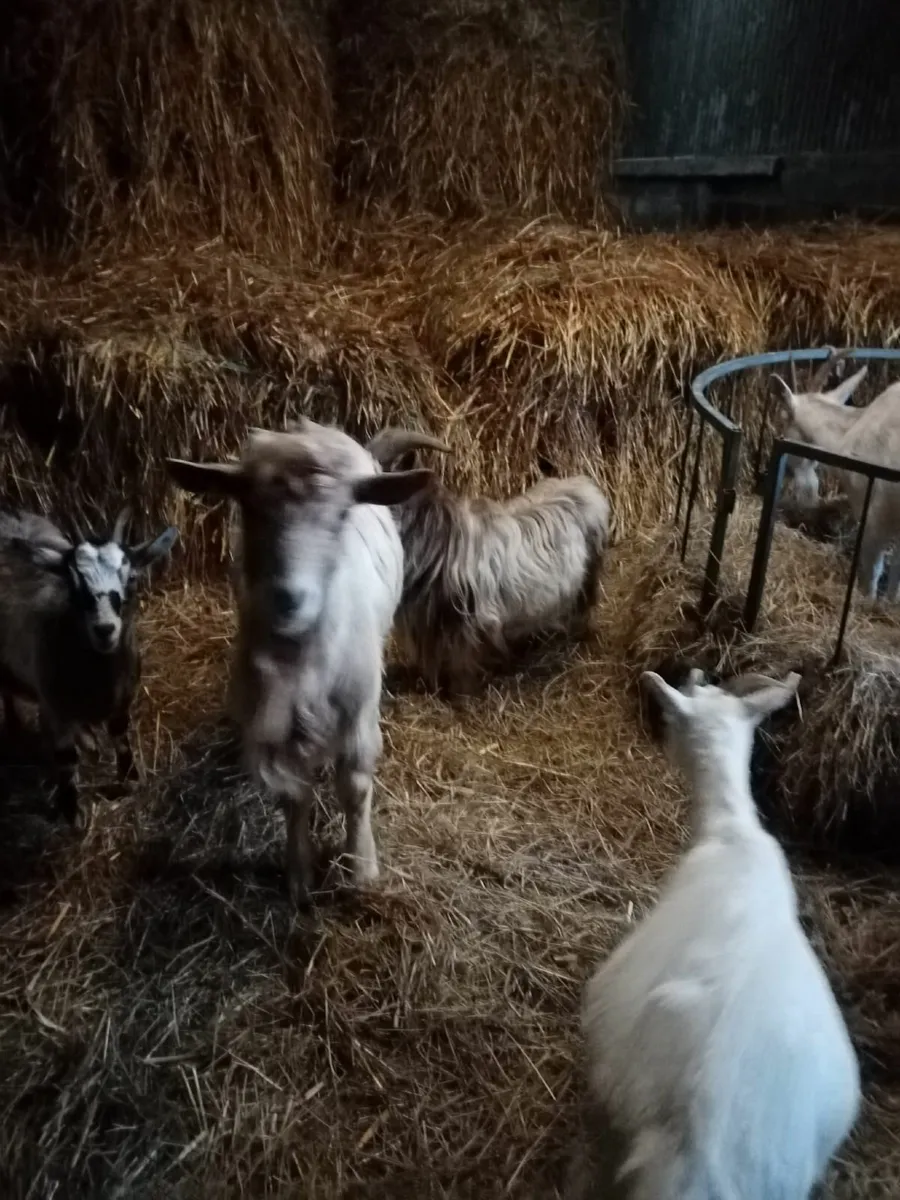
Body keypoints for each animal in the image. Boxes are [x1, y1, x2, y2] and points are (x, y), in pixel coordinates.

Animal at [0, 506, 179, 825]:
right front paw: (72, 811)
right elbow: (66, 758)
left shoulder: (122, 697)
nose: (104, 629)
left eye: (132, 577)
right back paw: (13, 725)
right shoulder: (54, 707)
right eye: (73, 585)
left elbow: (120, 734)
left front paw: (130, 776)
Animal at [165, 417, 434, 909]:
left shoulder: (358, 706)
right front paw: (299, 874)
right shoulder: (277, 719)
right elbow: (294, 795)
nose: (289, 600)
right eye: (250, 507)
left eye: (342, 515)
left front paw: (362, 867)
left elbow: (355, 787)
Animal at [365, 427, 611, 694]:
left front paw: (461, 692)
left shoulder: (467, 626)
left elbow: (463, 667)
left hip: (589, 576)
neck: (441, 543)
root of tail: (585, 486)